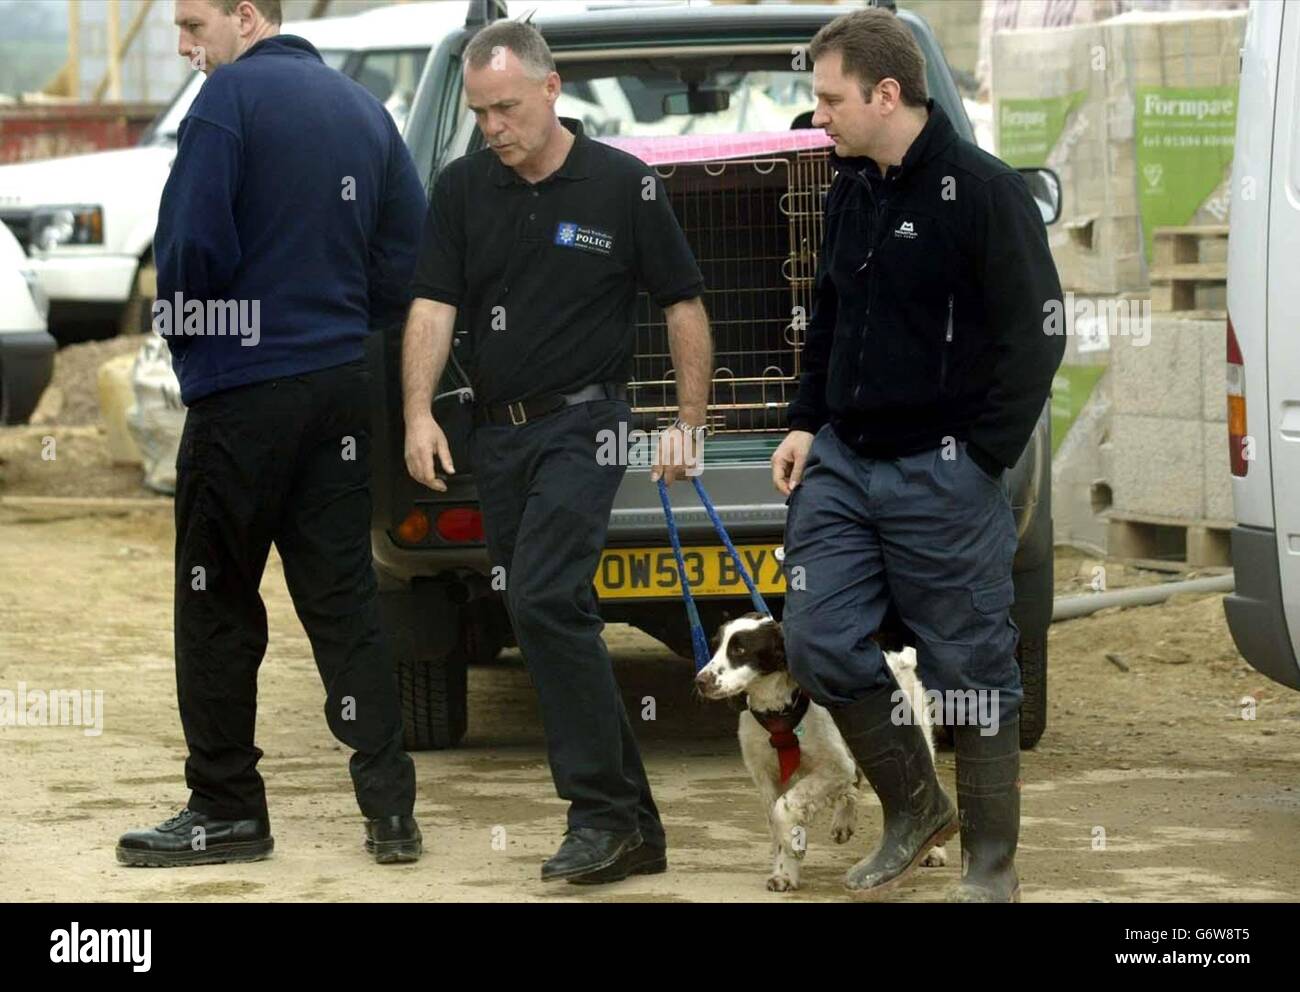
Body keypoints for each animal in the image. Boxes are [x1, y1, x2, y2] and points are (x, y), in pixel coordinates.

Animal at [696, 608, 951, 894]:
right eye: (715, 646)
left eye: (740, 650)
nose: (700, 681)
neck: (778, 712)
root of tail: (895, 655)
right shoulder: (763, 773)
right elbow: (775, 819)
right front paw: (784, 871)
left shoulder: (834, 766)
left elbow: (784, 807)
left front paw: (793, 842)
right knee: (855, 782)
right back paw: (843, 822)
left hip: (915, 732)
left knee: (925, 778)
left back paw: (934, 849)